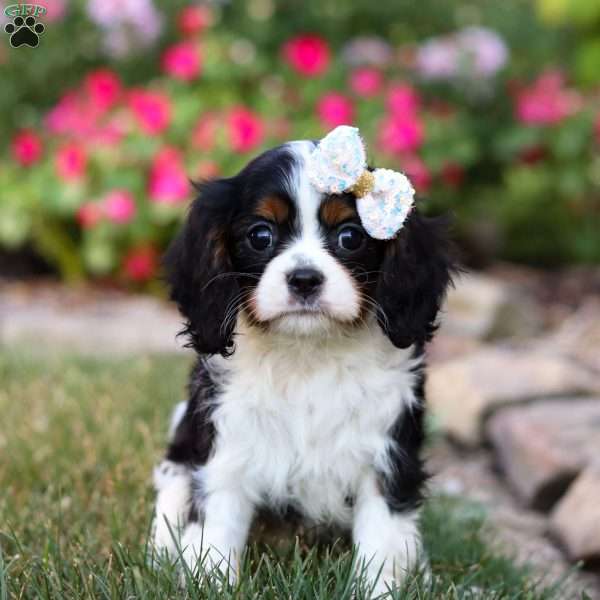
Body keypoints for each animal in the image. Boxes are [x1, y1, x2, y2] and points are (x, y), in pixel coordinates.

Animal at [151, 132, 454, 596]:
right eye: (260, 236)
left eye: (351, 236)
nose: (305, 279)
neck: (307, 353)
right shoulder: (228, 448)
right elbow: (215, 531)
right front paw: (210, 582)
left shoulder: (387, 455)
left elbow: (383, 540)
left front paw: (378, 588)